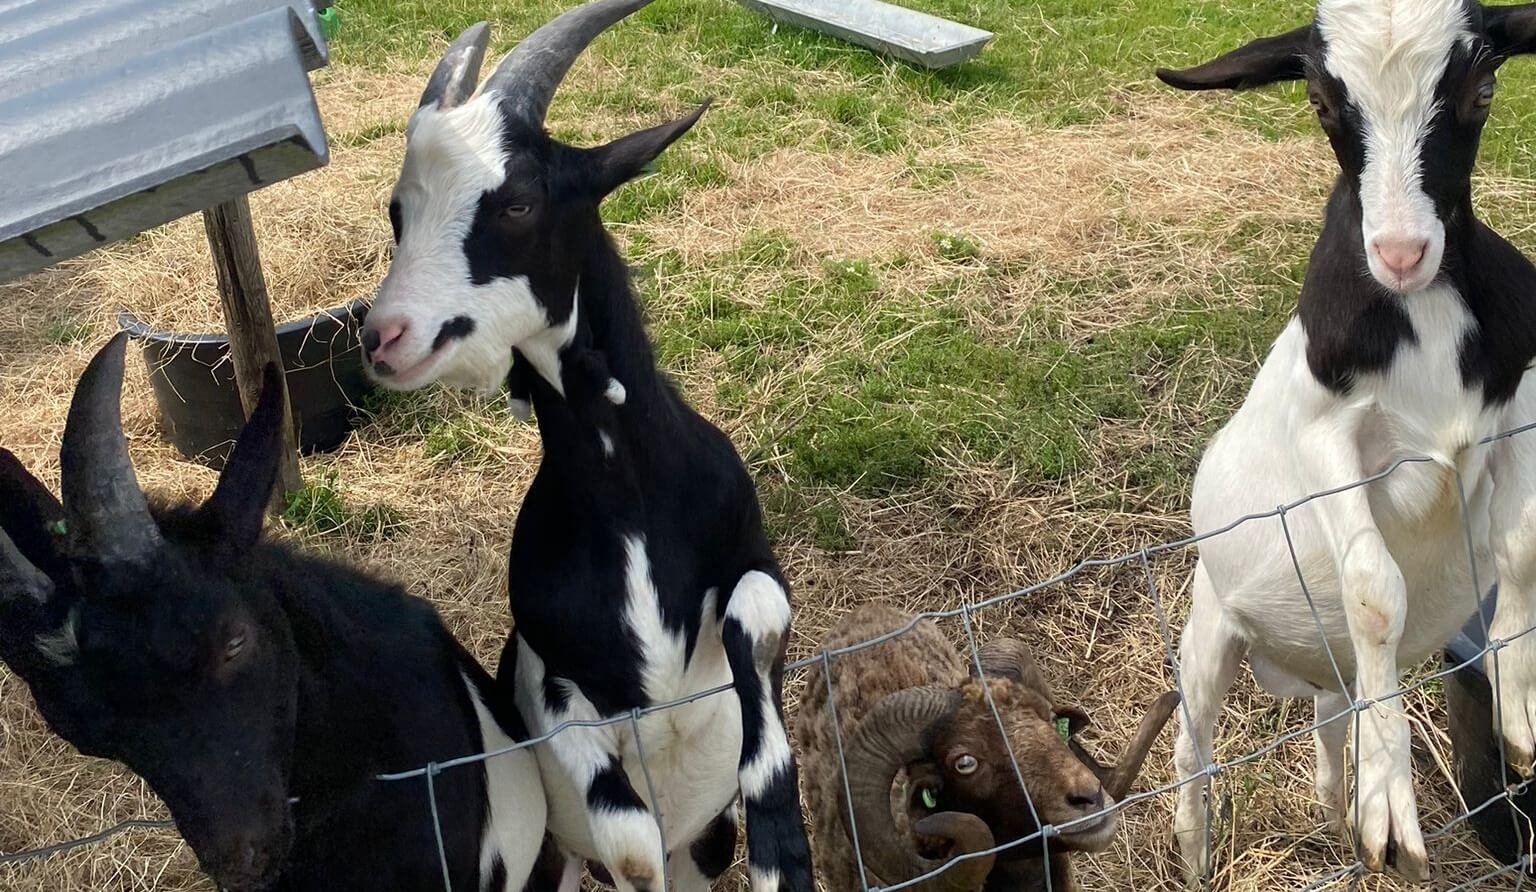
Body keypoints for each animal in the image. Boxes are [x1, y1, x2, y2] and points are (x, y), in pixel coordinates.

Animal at [1155, 0, 1536, 878]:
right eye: (1322, 103)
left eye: (1483, 90)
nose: (1400, 253)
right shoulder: (1325, 440)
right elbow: (1375, 593)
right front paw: (1394, 812)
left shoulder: (1521, 394)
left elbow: (1521, 544)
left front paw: (1517, 712)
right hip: (1207, 627)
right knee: (1195, 744)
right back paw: (1194, 853)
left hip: (1323, 669)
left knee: (1332, 717)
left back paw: (1338, 813)